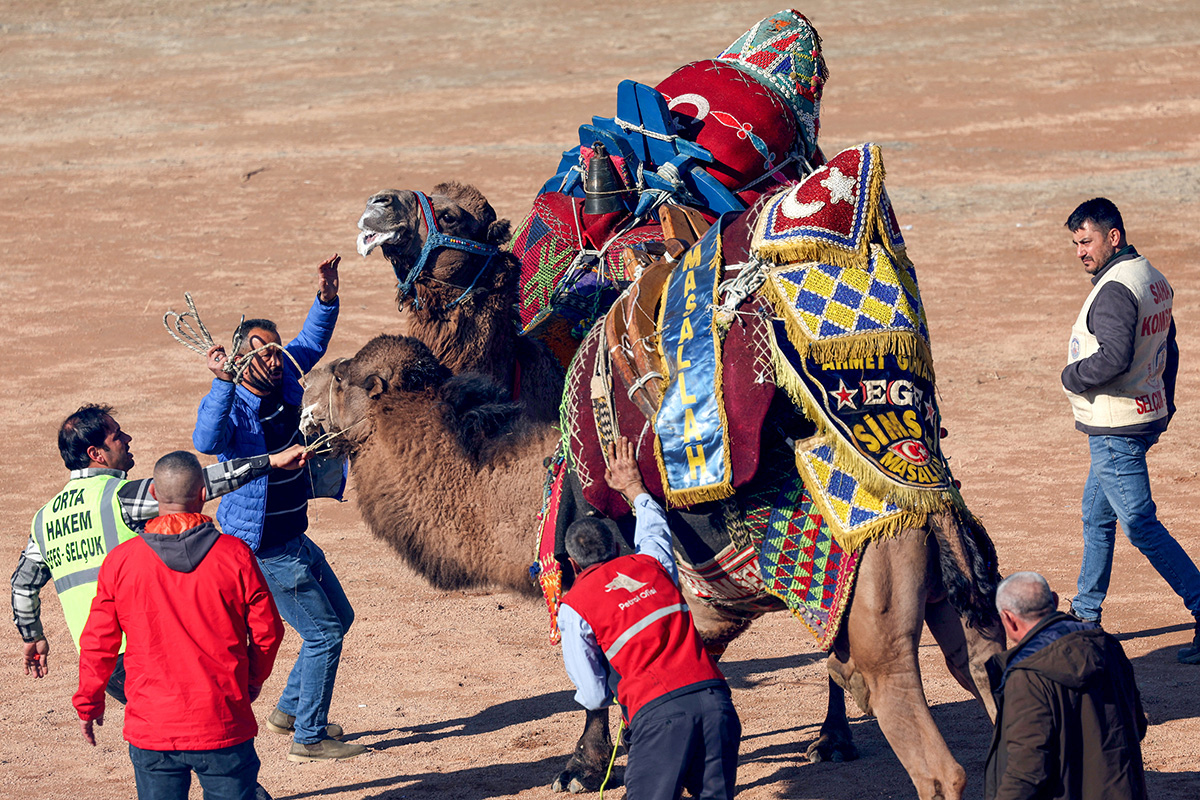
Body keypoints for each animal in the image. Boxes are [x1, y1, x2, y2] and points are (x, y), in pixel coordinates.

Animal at [300, 331, 1003, 800]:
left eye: (341, 377)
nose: (301, 387)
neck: (532, 489)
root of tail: (932, 501)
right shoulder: (705, 607)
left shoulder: (588, 588)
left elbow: (598, 686)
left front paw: (583, 770)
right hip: (957, 605)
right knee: (983, 674)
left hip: (879, 621)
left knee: (933, 758)